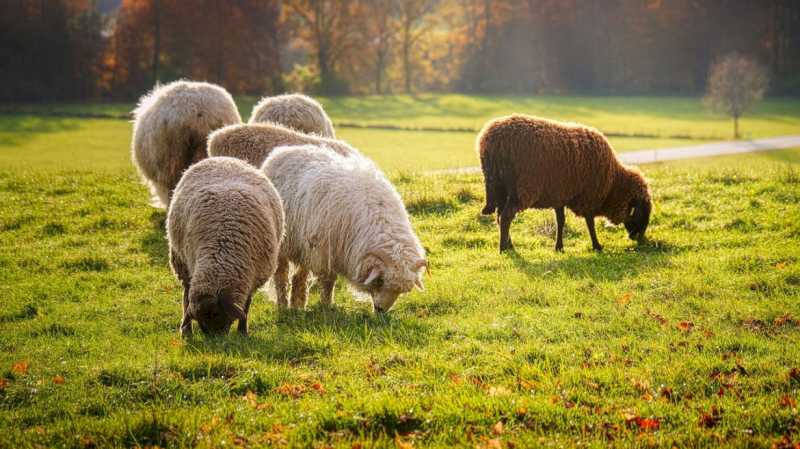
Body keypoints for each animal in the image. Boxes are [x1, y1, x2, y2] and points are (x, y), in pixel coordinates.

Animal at [166, 156, 284, 334]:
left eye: (216, 314)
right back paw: (186, 331)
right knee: (186, 293)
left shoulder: (252, 279)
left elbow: (246, 306)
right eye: (201, 320)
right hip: (180, 261)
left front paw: (242, 332)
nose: (215, 339)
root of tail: (223, 158)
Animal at [260, 144, 424, 312]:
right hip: (283, 244)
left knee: (300, 276)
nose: (380, 311)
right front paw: (326, 305)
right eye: (380, 281)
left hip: (303, 245)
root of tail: (281, 151)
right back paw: (283, 305)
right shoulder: (325, 252)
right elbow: (328, 281)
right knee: (281, 276)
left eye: (400, 292)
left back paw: (298, 306)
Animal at [478, 114, 652, 252]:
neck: (613, 183)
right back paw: (503, 248)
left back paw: (509, 245)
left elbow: (560, 221)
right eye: (641, 211)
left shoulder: (560, 195)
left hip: (500, 188)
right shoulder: (588, 196)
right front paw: (597, 246)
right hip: (522, 189)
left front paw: (559, 247)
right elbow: (590, 222)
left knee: (500, 216)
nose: (639, 239)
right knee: (506, 216)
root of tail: (488, 141)